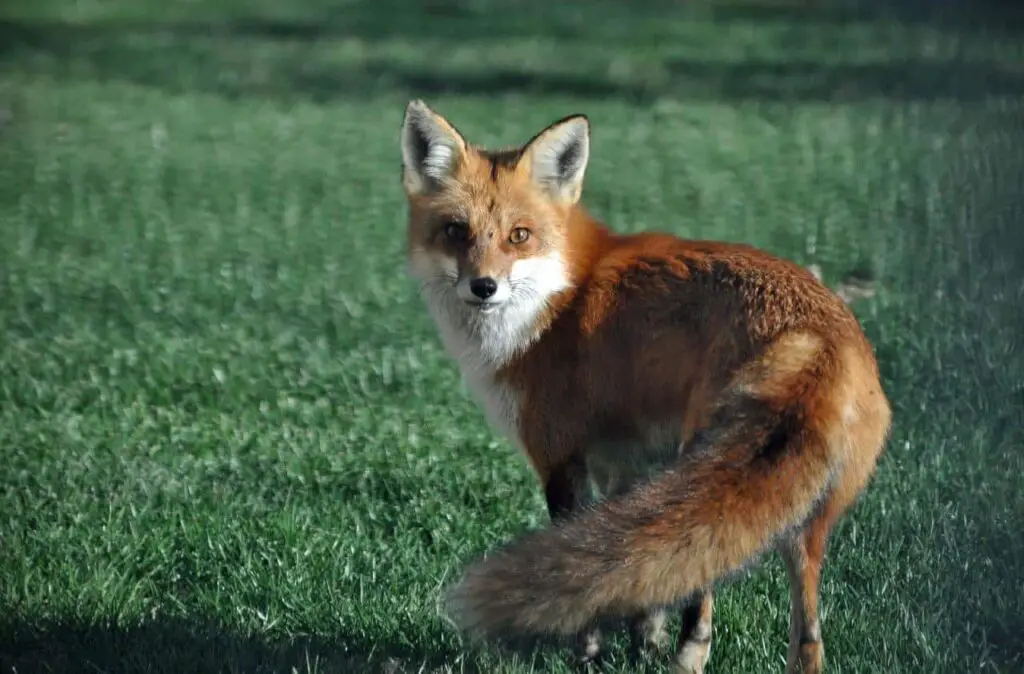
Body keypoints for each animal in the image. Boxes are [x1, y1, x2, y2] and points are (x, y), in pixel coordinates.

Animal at [397, 99, 888, 671]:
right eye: (456, 231)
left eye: (519, 236)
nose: (483, 286)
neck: (555, 299)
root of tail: (818, 337)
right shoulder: (628, 466)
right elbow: (638, 586)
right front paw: (642, 646)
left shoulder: (560, 455)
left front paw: (589, 653)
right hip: (802, 511)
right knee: (807, 627)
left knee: (704, 590)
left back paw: (689, 654)